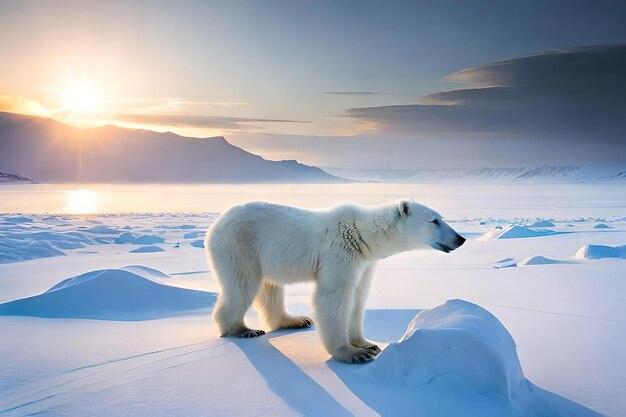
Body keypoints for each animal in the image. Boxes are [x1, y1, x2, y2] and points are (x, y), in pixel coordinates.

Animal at [205, 200, 464, 362]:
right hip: (240, 245)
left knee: (271, 289)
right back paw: (241, 329)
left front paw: (367, 344)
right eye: (434, 220)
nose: (460, 238)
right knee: (242, 283)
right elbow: (334, 296)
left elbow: (358, 298)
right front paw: (352, 354)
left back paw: (295, 320)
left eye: (442, 217)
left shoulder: (364, 263)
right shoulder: (340, 253)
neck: (362, 235)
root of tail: (215, 224)